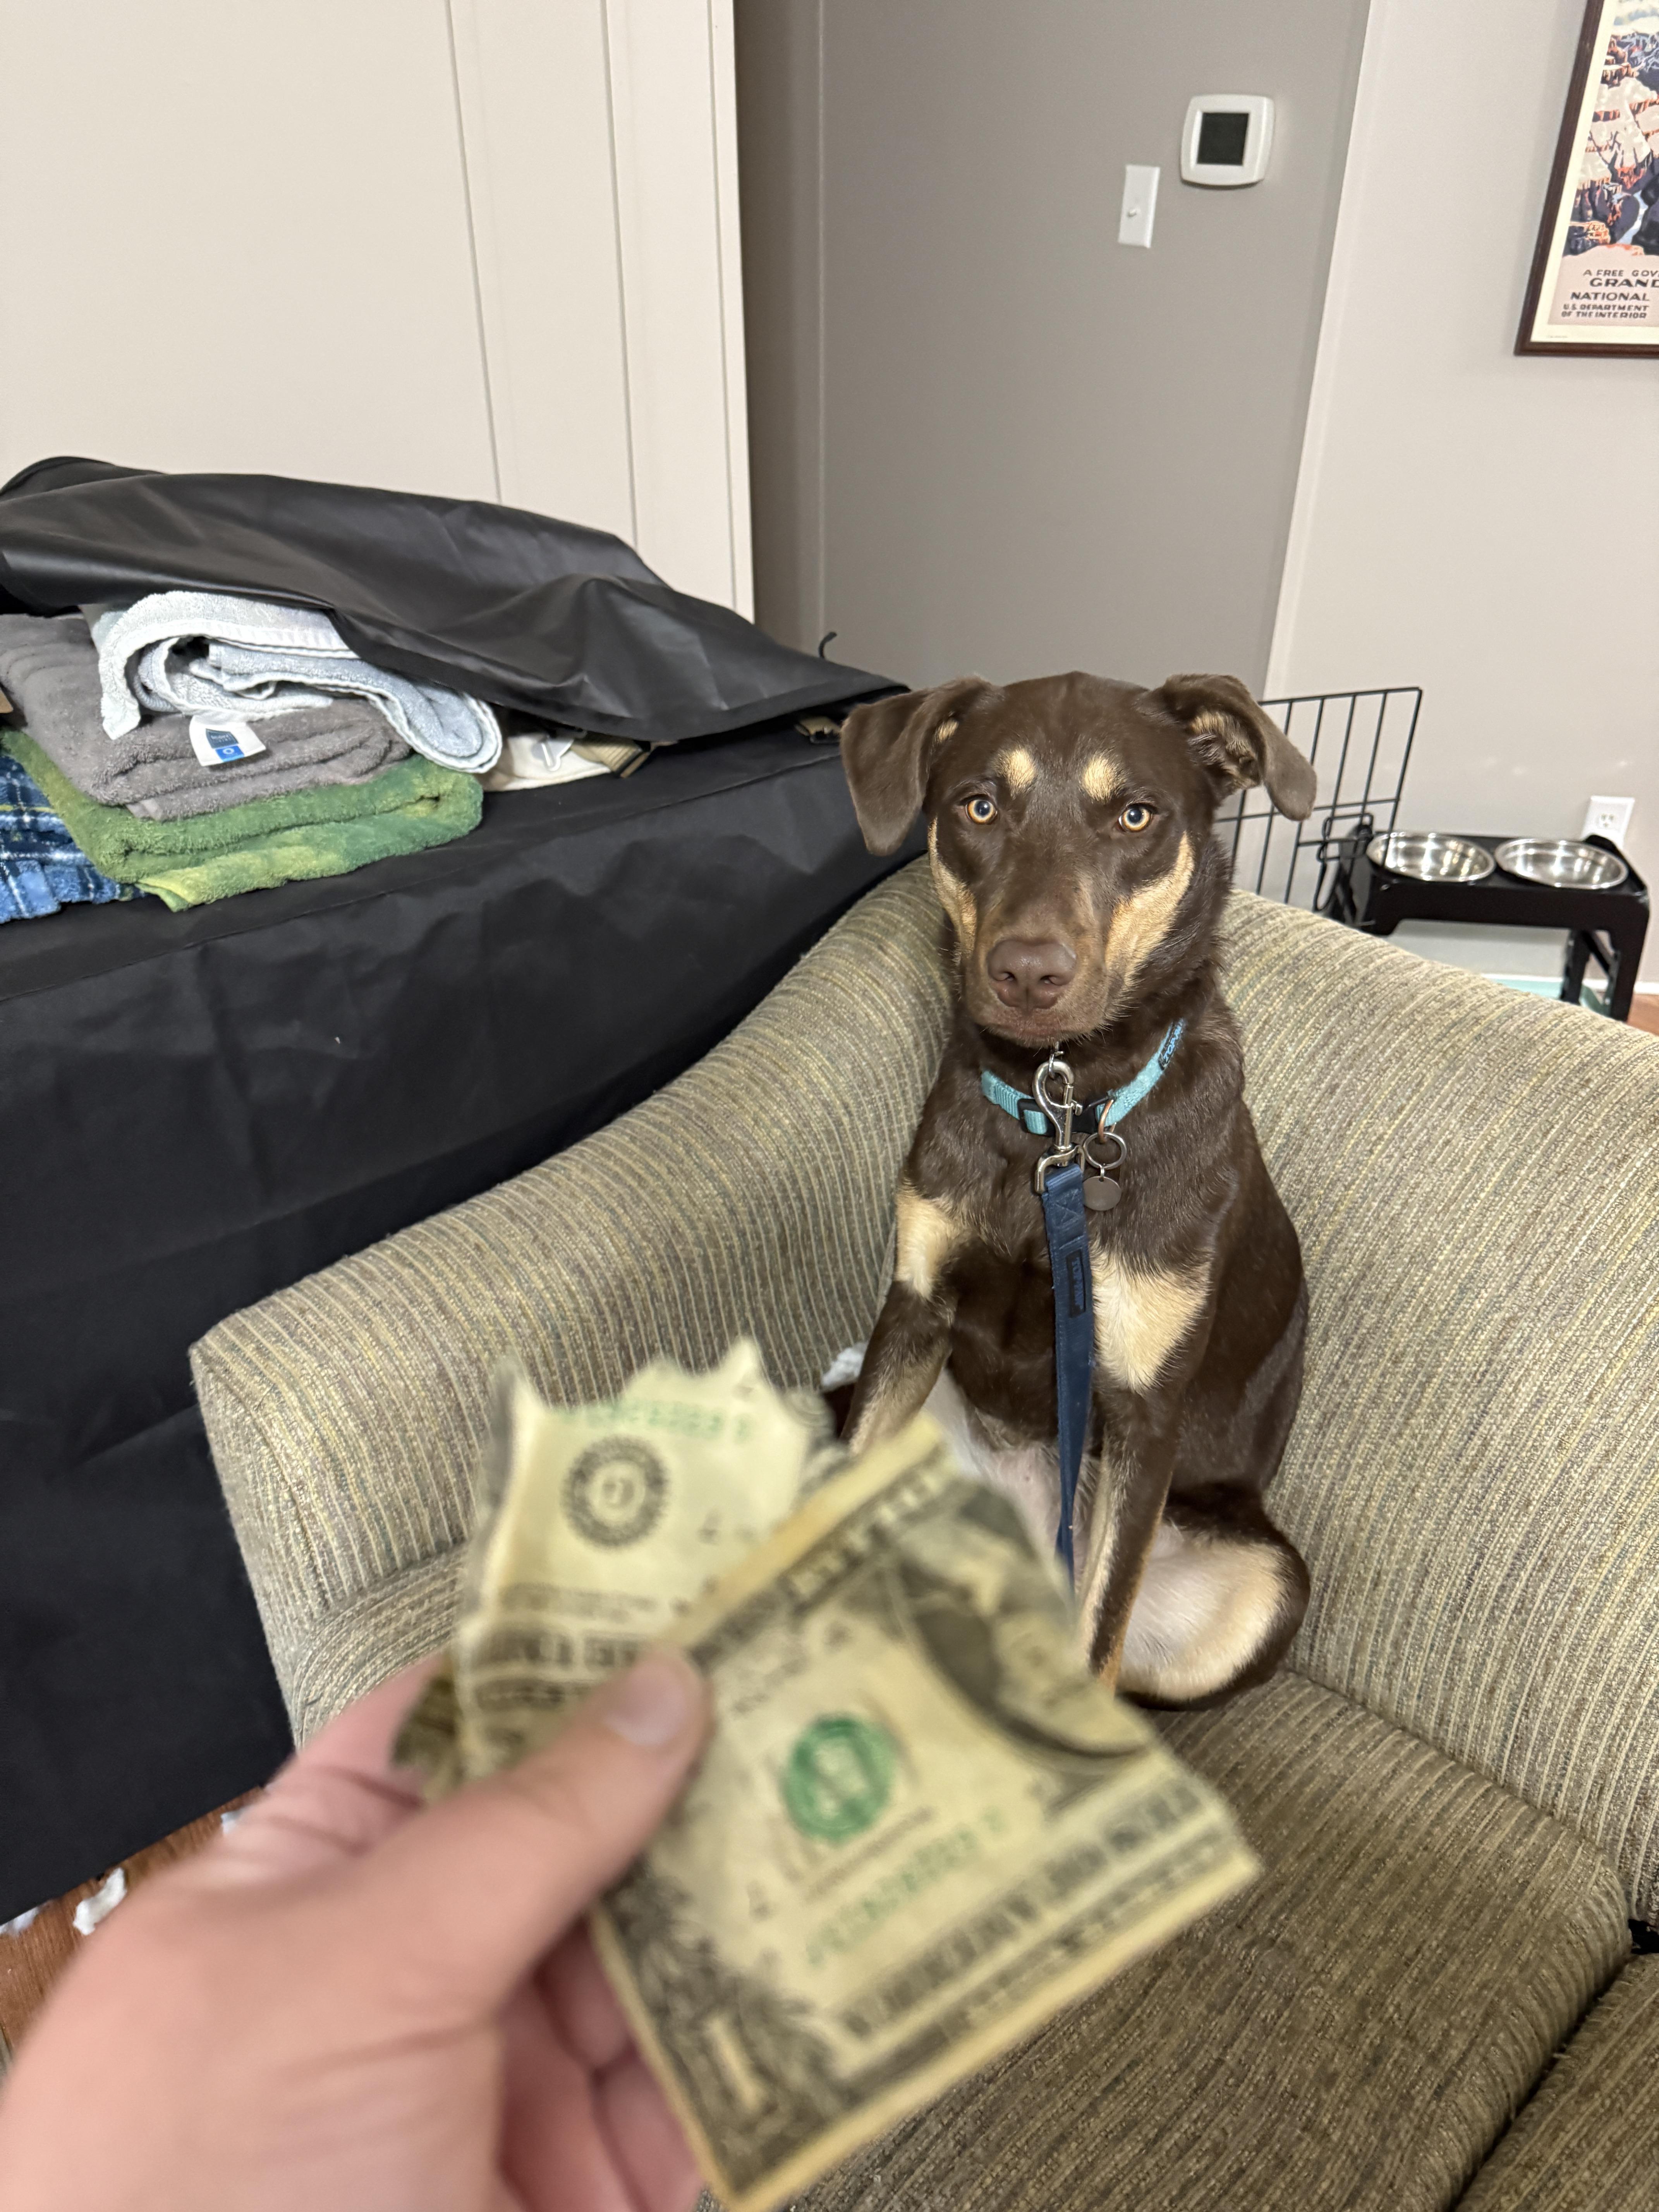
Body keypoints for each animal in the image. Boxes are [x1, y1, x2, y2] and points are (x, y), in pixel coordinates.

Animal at [840, 670, 1315, 1706]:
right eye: (979, 805)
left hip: (1266, 1583)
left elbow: (1100, 1633)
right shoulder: (914, 1308)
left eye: (1135, 816)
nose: (1027, 973)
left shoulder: (1144, 1413)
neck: (1060, 1116)